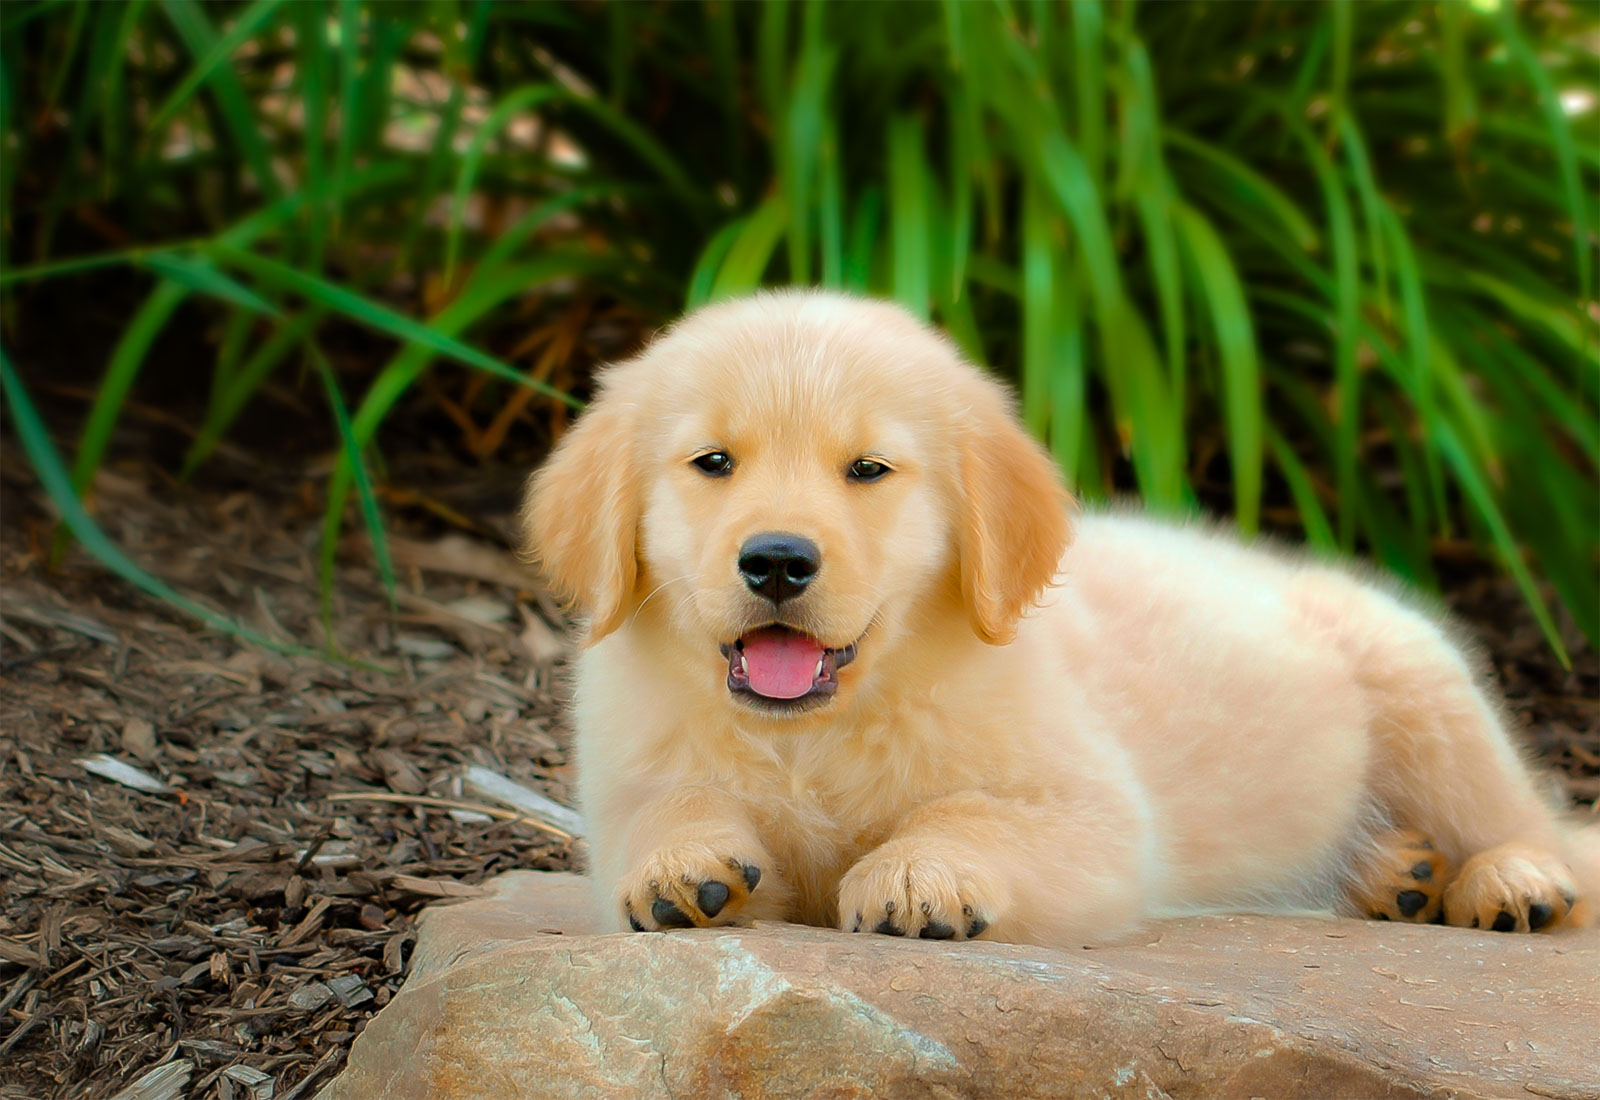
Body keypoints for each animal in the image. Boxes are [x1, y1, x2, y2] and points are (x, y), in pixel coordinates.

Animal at [521, 289, 1587, 946]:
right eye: (713, 463)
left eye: (867, 469)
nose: (778, 561)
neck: (815, 734)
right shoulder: (624, 785)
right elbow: (669, 807)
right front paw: (682, 866)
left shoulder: (1097, 815)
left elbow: (973, 810)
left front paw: (921, 876)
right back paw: (1393, 872)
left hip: (1426, 690)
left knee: (1543, 824)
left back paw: (1512, 882)